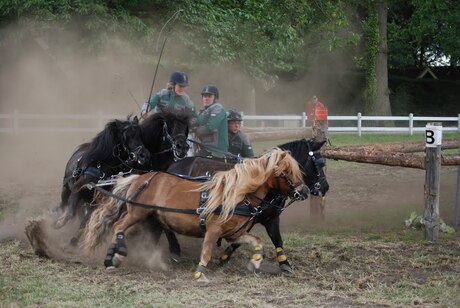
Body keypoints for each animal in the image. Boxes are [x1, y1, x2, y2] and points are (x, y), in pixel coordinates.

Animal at [82, 149, 310, 284]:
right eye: (287, 173)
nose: (306, 192)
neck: (237, 194)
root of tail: (142, 177)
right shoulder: (213, 230)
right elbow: (207, 251)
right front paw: (200, 274)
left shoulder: (234, 233)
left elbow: (257, 241)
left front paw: (255, 262)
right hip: (137, 212)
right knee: (119, 226)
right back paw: (118, 253)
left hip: (150, 216)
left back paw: (113, 258)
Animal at [164, 138, 328, 272]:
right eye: (320, 163)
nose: (325, 187)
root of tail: (173, 166)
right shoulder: (247, 220)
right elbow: (238, 241)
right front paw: (223, 258)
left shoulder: (271, 218)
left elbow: (277, 239)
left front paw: (284, 264)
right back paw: (174, 250)